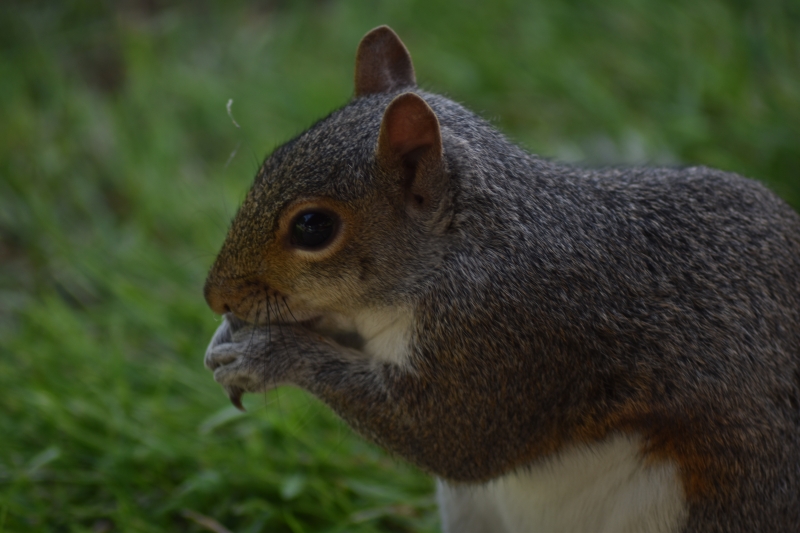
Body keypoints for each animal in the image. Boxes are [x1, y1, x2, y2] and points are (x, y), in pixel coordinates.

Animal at [203, 25, 800, 532]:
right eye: (269, 162)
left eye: (313, 226)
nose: (214, 297)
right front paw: (229, 336)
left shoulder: (510, 335)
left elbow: (452, 439)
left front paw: (267, 354)